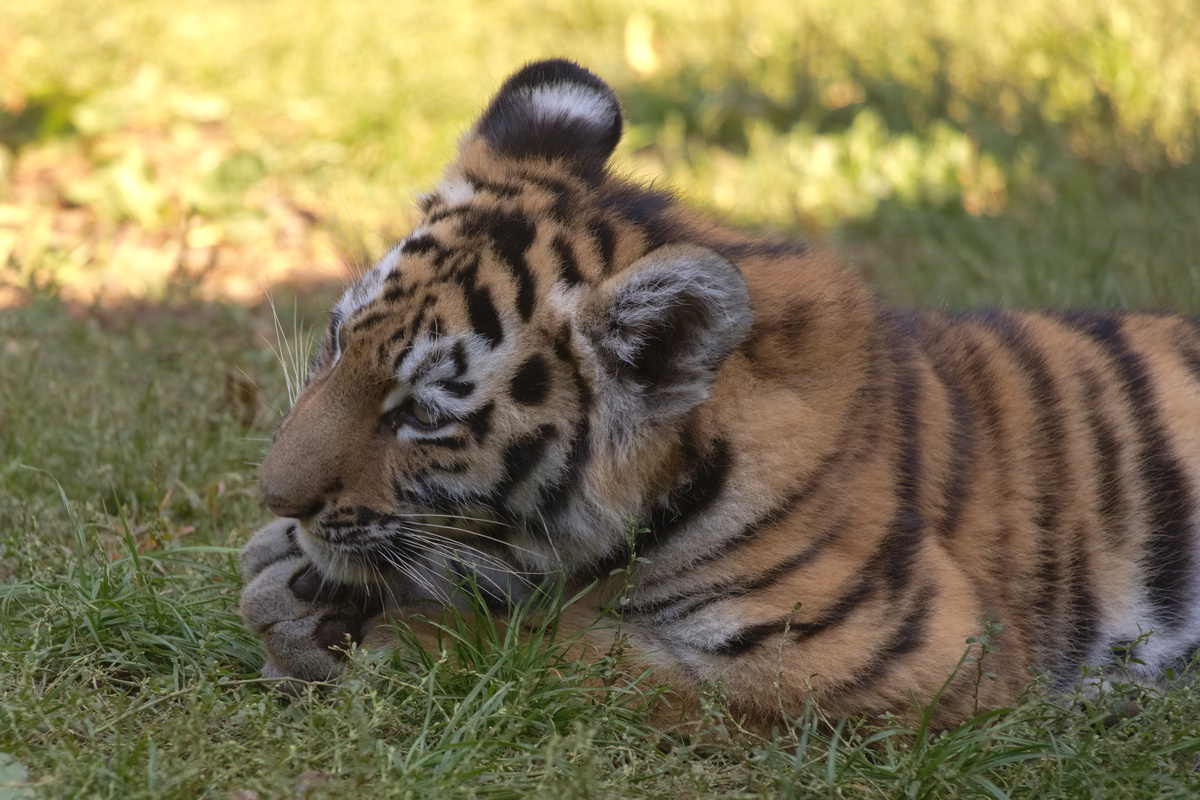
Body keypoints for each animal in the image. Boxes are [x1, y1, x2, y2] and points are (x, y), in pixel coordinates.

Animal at [239, 58, 1200, 729]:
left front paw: (361, 629)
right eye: (337, 343)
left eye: (423, 414)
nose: (275, 497)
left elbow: (563, 649)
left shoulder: (890, 654)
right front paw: (283, 570)